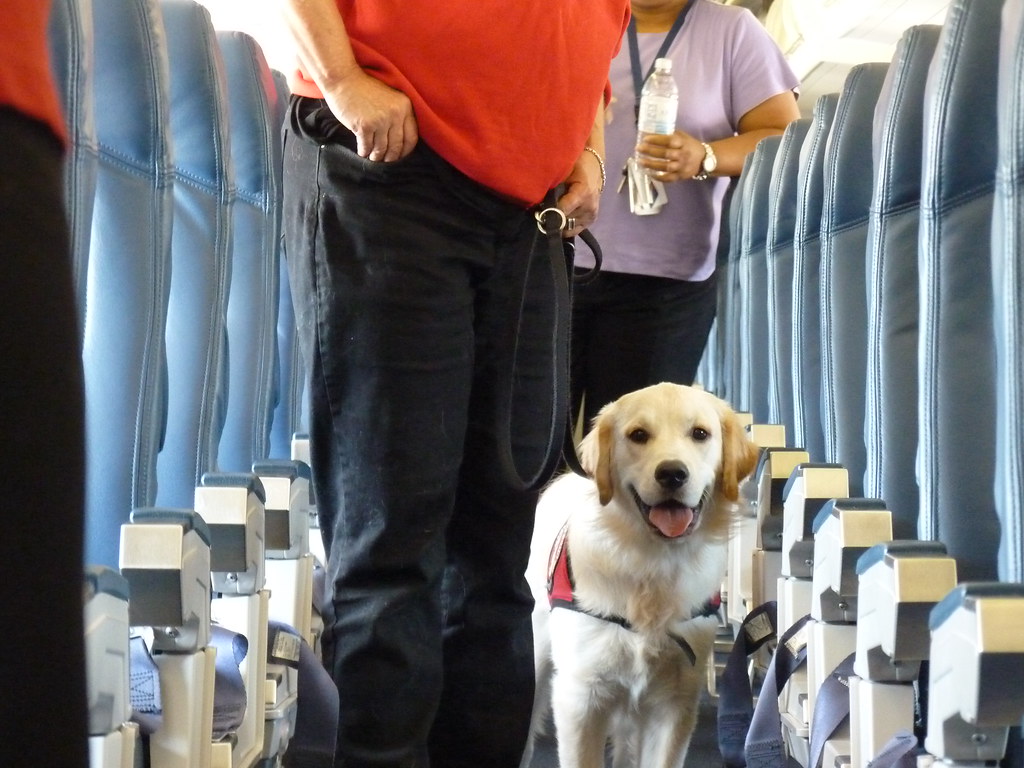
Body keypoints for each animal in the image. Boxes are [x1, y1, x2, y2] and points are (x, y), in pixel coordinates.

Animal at [524, 382, 757, 768]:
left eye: (700, 434)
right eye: (638, 435)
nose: (673, 473)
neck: (652, 561)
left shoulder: (675, 700)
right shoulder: (580, 696)